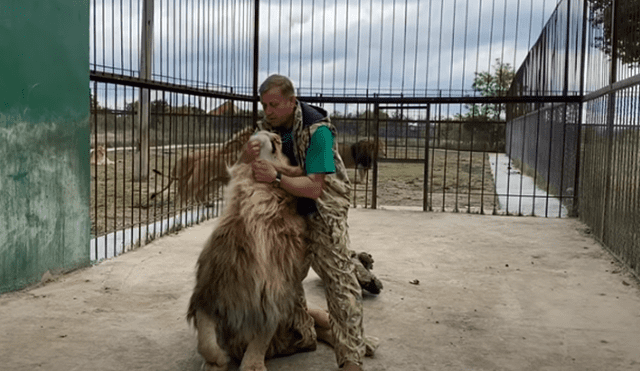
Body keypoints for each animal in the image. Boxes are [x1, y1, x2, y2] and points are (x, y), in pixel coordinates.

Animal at [185, 132, 312, 371]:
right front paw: (216, 361)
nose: (272, 134)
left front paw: (252, 365)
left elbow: (262, 337)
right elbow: (205, 341)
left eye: (279, 145)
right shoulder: (211, 290)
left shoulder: (272, 294)